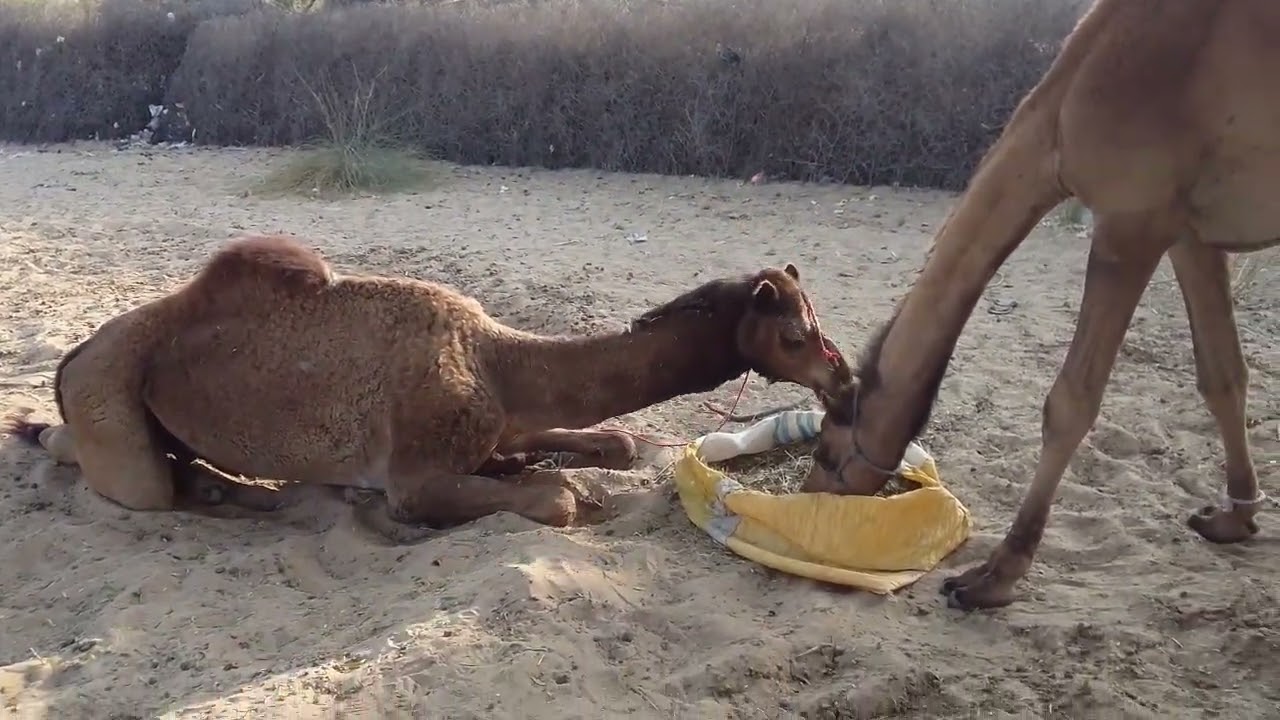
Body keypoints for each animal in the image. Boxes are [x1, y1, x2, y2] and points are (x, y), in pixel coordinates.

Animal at [5, 234, 850, 529]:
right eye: (795, 334)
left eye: (816, 321)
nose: (843, 383)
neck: (497, 359)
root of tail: (76, 353)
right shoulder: (413, 476)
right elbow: (556, 497)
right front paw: (557, 487)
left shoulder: (500, 420)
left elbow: (610, 442)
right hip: (110, 404)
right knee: (118, 470)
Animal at [802, 0, 1279, 610]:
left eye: (828, 450)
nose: (812, 497)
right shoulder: (1189, 230)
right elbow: (1222, 378)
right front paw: (1235, 518)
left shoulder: (1131, 222)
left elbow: (1070, 404)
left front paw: (994, 575)